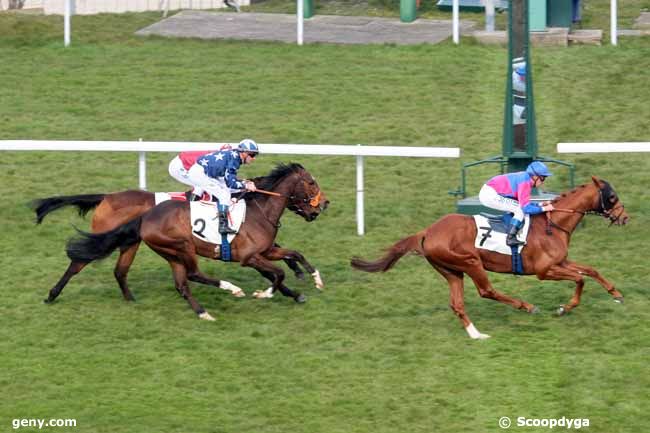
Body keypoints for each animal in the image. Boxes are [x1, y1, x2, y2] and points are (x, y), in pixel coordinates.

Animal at [42, 162, 330, 318]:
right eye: (311, 183)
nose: (324, 204)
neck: (258, 209)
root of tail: (107, 197)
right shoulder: (249, 256)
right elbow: (277, 273)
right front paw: (267, 293)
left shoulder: (265, 250)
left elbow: (294, 255)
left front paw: (310, 281)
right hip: (181, 246)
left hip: (141, 246)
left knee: (131, 273)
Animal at [352, 177, 624, 340]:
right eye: (611, 196)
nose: (624, 217)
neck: (553, 224)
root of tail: (427, 231)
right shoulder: (545, 270)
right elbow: (580, 279)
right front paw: (563, 308)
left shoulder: (561, 262)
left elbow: (590, 270)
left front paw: (616, 294)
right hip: (471, 262)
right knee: (487, 291)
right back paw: (526, 306)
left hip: (452, 271)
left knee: (457, 304)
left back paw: (476, 334)